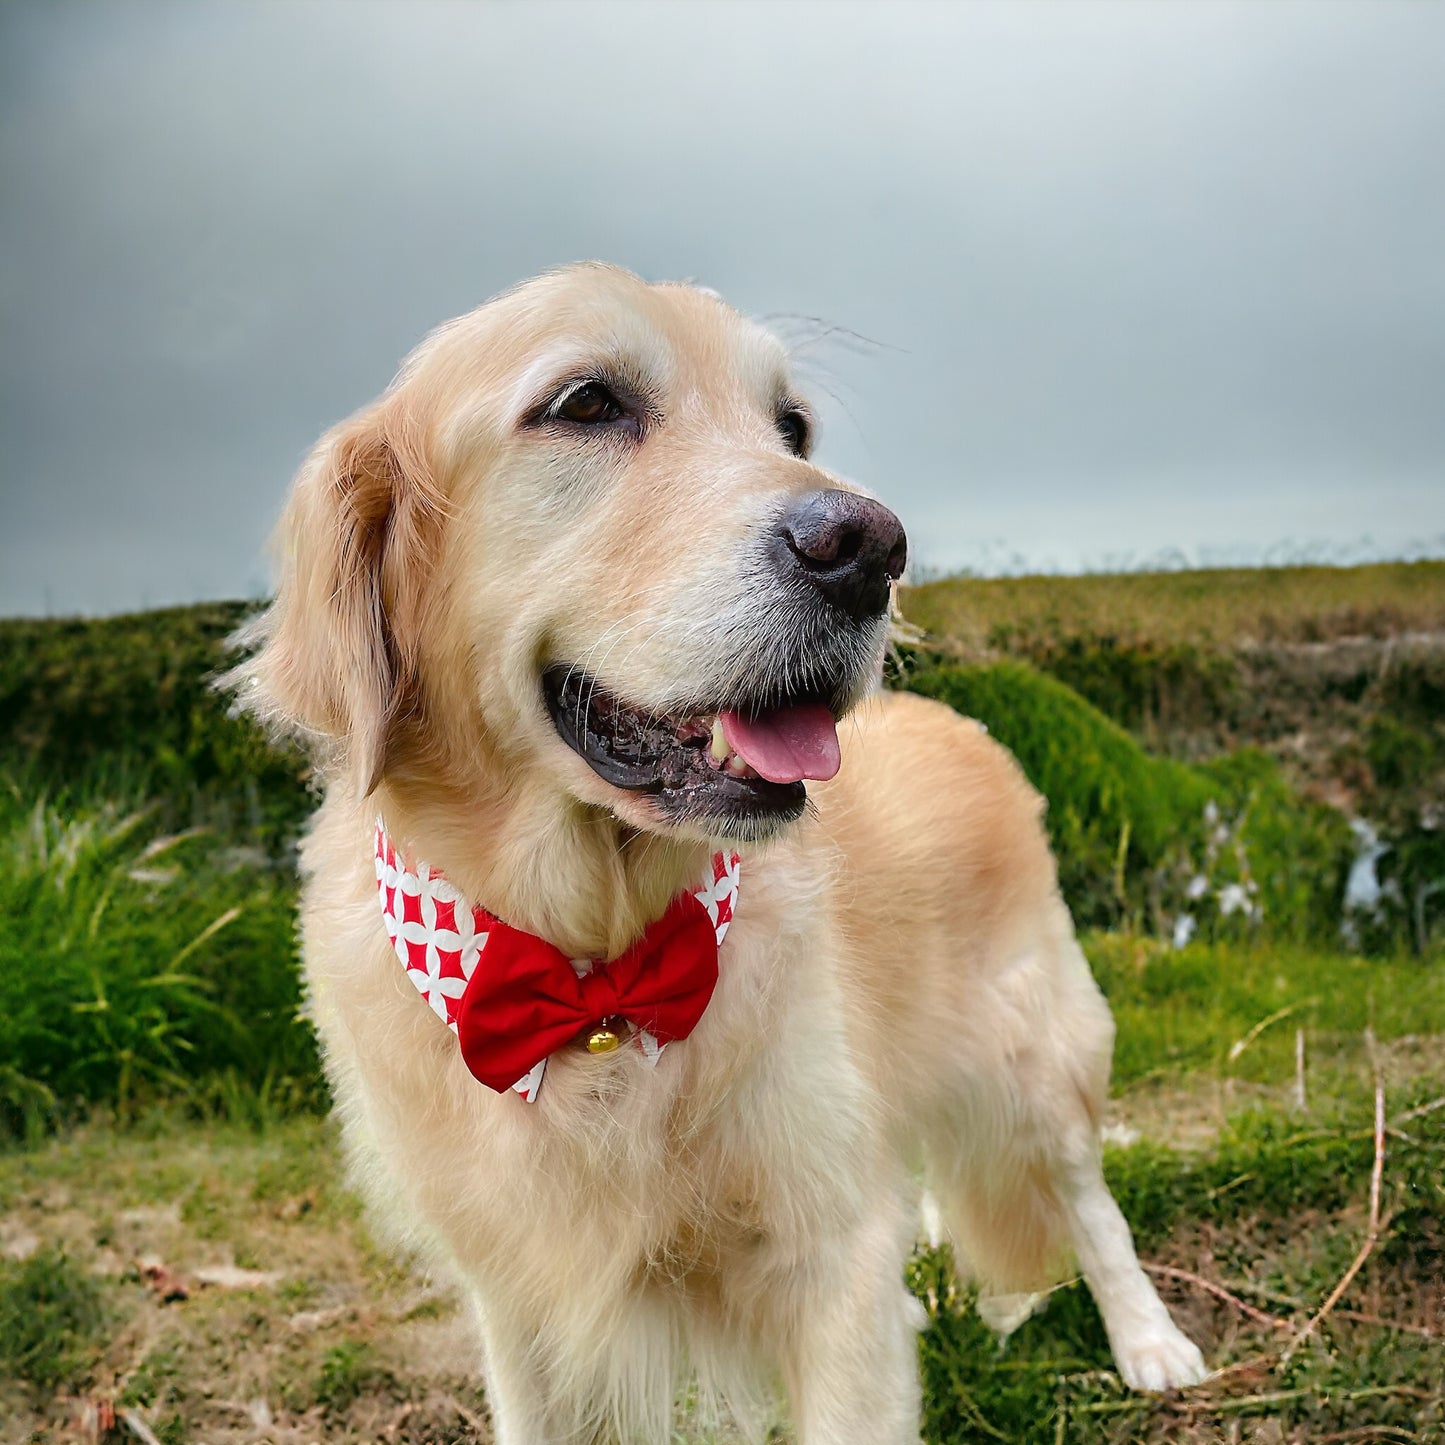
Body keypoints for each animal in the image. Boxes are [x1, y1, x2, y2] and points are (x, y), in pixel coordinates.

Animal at [234, 265, 1208, 1439]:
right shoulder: (519, 1304)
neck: (597, 974)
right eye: (586, 403)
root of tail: (966, 725)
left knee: (1088, 1203)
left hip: (1034, 1048)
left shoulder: (829, 1255)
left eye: (791, 425)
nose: (871, 549)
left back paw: (1148, 1339)